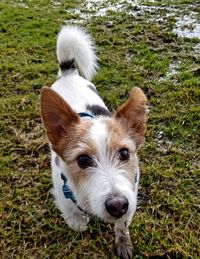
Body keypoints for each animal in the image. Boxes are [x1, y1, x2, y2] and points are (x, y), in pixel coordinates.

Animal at [40, 24, 147, 259]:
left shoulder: (131, 194)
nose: (117, 205)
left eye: (124, 153)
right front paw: (81, 222)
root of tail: (68, 72)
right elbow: (77, 222)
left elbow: (122, 225)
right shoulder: (64, 198)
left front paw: (123, 242)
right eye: (82, 160)